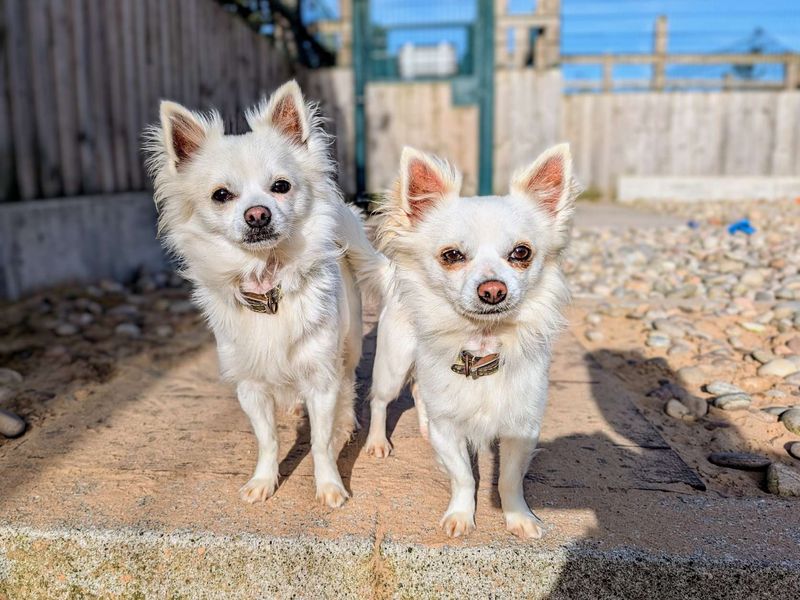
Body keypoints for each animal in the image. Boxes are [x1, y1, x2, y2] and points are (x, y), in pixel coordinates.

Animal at [146, 82, 378, 508]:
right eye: (221, 195)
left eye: (281, 187)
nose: (257, 214)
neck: (268, 284)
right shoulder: (250, 386)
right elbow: (267, 439)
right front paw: (264, 481)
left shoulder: (321, 378)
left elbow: (320, 443)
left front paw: (329, 486)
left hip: (351, 338)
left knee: (349, 377)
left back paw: (348, 418)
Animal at [366, 144, 580, 540]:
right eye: (452, 255)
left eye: (521, 253)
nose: (493, 290)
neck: (483, 344)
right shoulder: (449, 430)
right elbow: (463, 476)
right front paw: (461, 516)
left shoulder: (522, 427)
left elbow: (509, 480)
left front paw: (519, 518)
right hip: (393, 363)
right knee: (381, 401)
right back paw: (376, 442)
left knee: (419, 393)